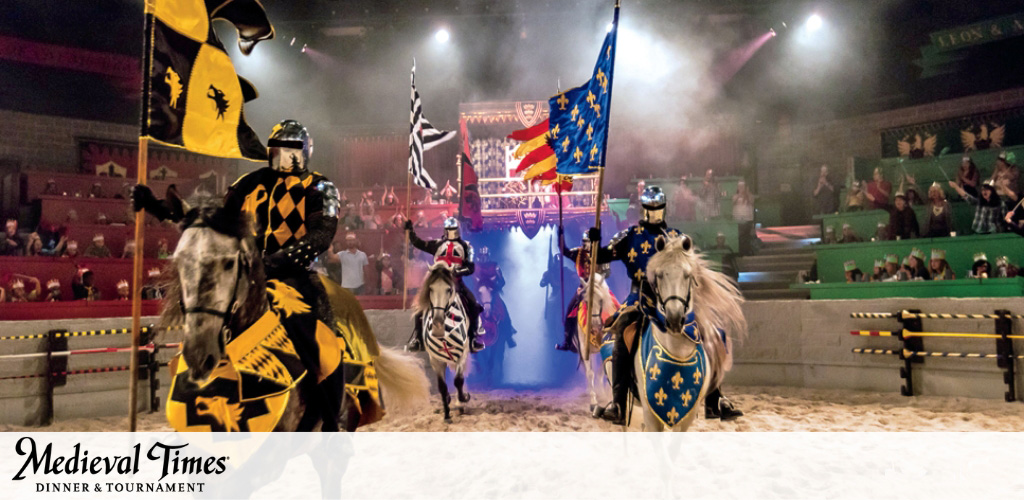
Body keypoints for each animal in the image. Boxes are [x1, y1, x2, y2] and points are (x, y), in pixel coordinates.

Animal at [411, 261, 471, 422]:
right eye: (431, 289)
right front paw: (446, 413)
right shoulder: (435, 359)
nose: (438, 323)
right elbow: (442, 387)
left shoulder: (462, 354)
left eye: (448, 289)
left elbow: (458, 380)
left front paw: (463, 399)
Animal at [634, 232, 749, 432]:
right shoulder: (650, 413)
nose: (674, 319)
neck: (677, 353)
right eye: (659, 275)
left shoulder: (687, 412)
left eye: (687, 275)